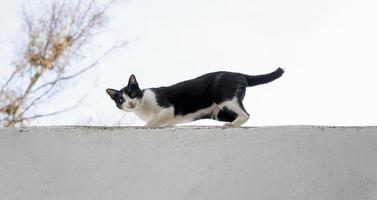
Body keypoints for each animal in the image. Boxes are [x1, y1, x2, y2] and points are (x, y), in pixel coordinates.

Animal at [105, 67, 282, 126]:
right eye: (121, 100)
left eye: (132, 93)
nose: (130, 104)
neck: (143, 108)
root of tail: (239, 74)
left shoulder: (167, 109)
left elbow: (149, 123)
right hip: (219, 112)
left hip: (225, 98)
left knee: (246, 114)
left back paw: (232, 125)